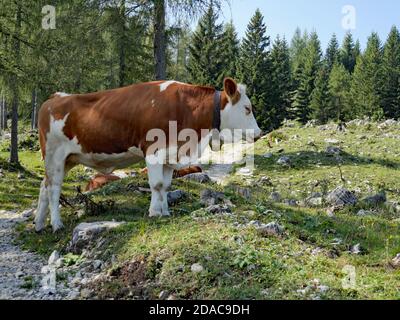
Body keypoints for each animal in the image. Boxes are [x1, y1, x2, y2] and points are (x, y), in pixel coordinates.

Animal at [35, 78, 262, 231]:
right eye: (247, 108)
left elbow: (166, 186)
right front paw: (154, 212)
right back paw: (56, 224)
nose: (259, 134)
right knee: (53, 188)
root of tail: (54, 98)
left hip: (68, 159)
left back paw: (38, 224)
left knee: (44, 186)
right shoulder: (153, 150)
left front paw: (165, 211)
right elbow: (157, 184)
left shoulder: (170, 155)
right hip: (55, 156)